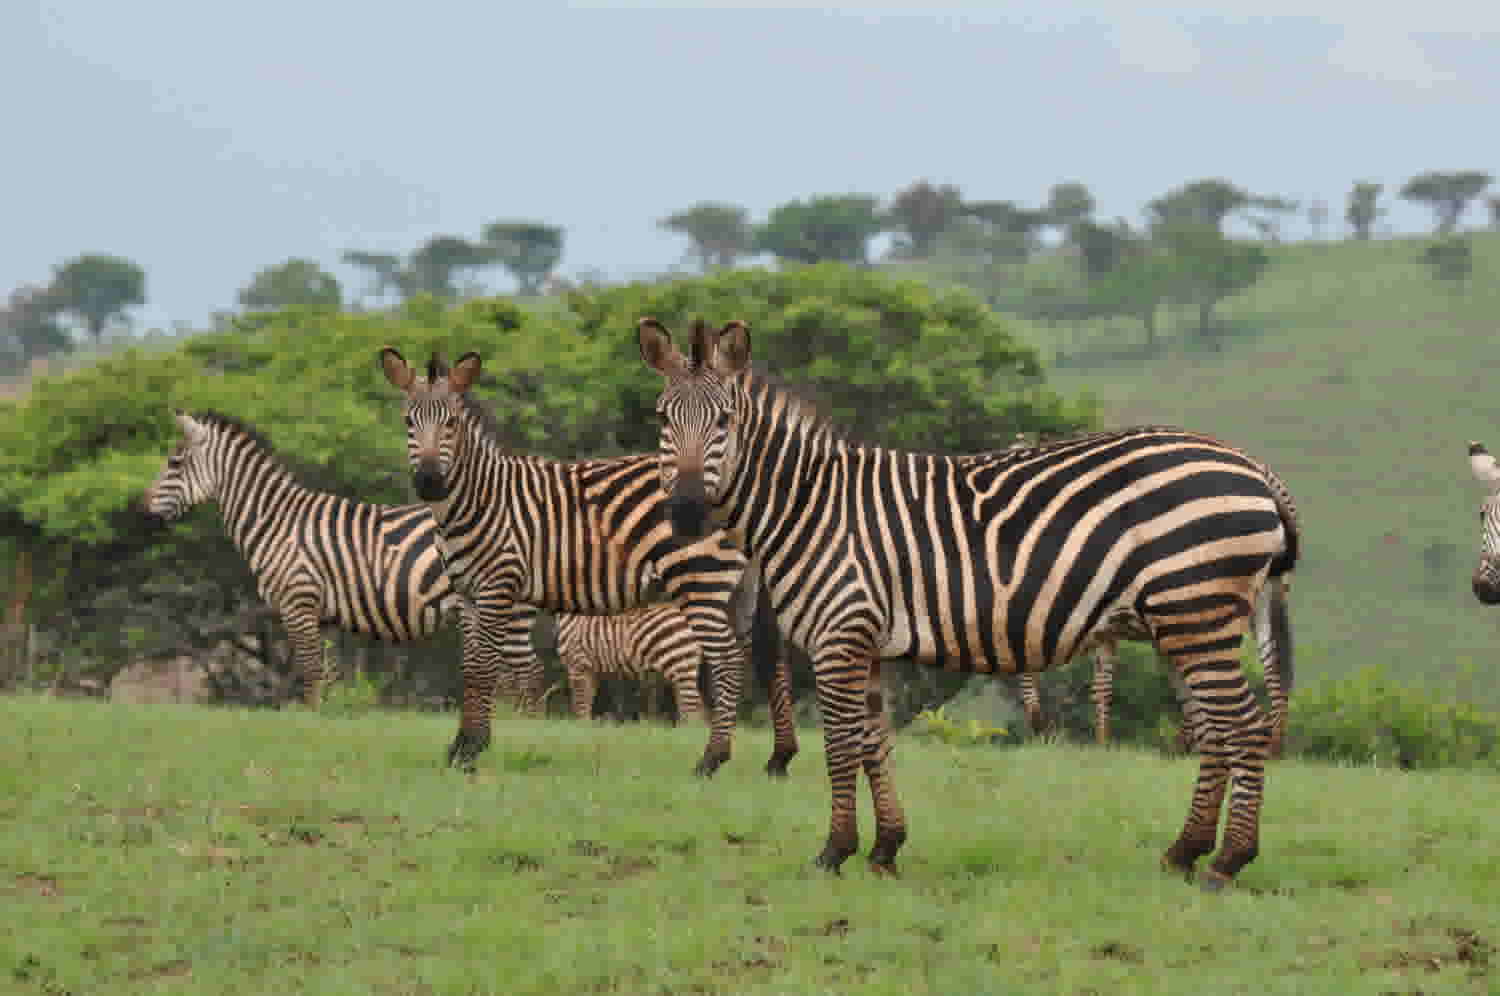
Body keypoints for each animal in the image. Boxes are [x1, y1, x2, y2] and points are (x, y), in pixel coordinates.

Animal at [141, 408, 546, 711]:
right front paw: (329, 720)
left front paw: (310, 721)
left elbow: (310, 671)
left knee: (529, 674)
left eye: (174, 463)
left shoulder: (298, 603)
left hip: (507, 608)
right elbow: (329, 674)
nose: (144, 510)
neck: (276, 521)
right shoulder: (325, 615)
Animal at [375, 349, 798, 780]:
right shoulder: (467, 594)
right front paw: (462, 745)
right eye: (408, 421)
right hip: (737, 586)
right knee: (763, 658)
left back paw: (712, 759)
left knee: (728, 660)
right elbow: (471, 669)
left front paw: (470, 750)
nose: (429, 482)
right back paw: (776, 757)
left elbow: (484, 668)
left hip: (702, 579)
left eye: (451, 423)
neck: (480, 500)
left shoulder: (497, 586)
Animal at [639, 316, 1296, 888]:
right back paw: (1185, 852)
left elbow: (841, 745)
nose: (685, 514)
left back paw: (1228, 861)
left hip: (1197, 612)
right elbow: (875, 744)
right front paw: (885, 848)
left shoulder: (839, 635)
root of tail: (1254, 466)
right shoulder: (865, 642)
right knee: (1214, 729)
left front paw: (833, 852)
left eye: (725, 421)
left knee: (1243, 725)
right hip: (1184, 623)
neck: (809, 507)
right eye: (663, 419)